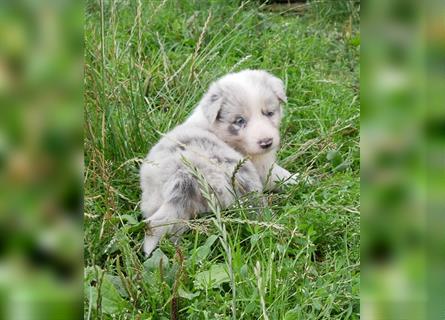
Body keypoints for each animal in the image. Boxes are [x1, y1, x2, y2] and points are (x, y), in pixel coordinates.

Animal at [139, 69, 294, 255]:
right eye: (239, 121)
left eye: (269, 113)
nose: (266, 142)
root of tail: (182, 176)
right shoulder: (262, 168)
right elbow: (281, 176)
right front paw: (303, 181)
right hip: (242, 178)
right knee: (254, 208)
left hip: (165, 206)